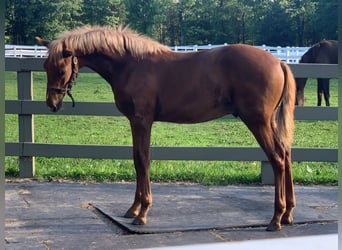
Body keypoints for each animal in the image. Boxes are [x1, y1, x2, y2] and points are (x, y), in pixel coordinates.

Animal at [36, 24, 296, 230]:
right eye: (45, 66)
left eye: (61, 69)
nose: (52, 103)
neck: (131, 64)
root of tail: (278, 62)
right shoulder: (135, 122)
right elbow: (136, 160)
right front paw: (133, 209)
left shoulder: (142, 121)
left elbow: (143, 160)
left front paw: (142, 213)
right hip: (269, 122)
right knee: (286, 153)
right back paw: (289, 213)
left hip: (257, 121)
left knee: (277, 159)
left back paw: (276, 218)